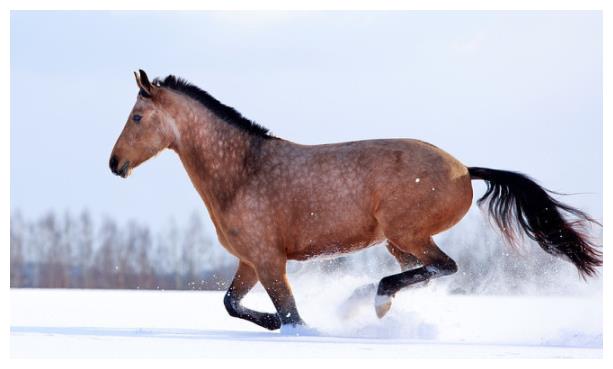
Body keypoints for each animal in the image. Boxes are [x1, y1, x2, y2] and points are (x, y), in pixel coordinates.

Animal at [107, 69, 600, 330]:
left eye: (137, 117)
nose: (115, 164)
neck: (242, 171)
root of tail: (464, 169)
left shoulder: (269, 261)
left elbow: (290, 314)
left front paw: (294, 328)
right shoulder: (249, 261)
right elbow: (231, 303)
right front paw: (271, 324)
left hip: (408, 233)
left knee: (443, 267)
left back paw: (368, 299)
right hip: (399, 242)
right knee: (422, 273)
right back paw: (373, 303)